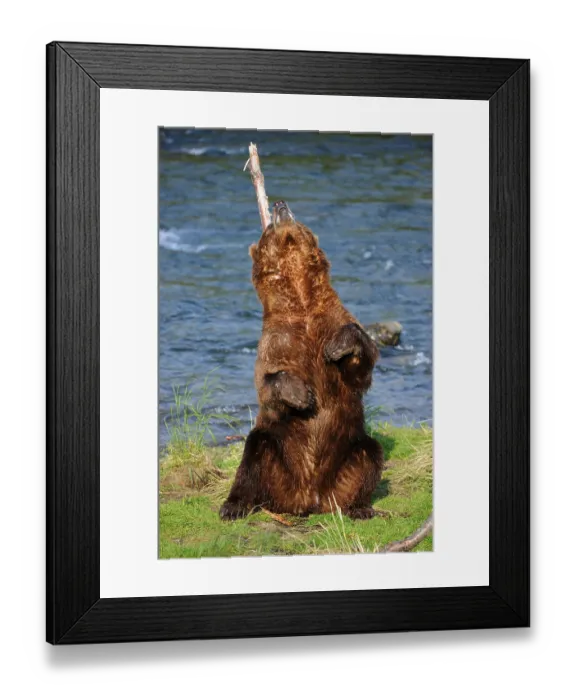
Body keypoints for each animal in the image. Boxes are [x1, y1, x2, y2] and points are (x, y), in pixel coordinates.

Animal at [220, 200, 383, 521]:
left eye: (300, 221)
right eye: (266, 230)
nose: (279, 204)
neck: (302, 302)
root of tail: (309, 498)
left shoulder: (331, 321)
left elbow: (360, 368)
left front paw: (339, 347)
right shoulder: (276, 341)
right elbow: (266, 382)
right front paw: (301, 394)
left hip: (347, 455)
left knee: (369, 452)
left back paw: (359, 507)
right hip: (278, 466)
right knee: (254, 451)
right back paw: (234, 505)